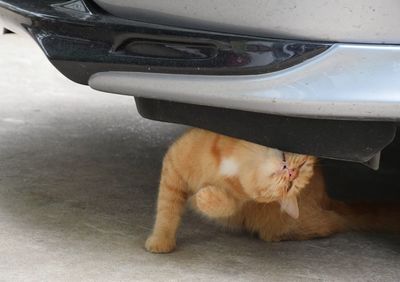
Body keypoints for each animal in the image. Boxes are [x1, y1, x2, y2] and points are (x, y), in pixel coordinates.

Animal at [145, 128, 398, 253]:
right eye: (302, 165)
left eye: (290, 186)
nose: (291, 173)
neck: (241, 163)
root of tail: (328, 197)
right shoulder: (174, 169)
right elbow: (167, 212)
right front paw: (161, 240)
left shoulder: (238, 200)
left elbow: (223, 204)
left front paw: (205, 197)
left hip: (296, 223)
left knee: (334, 223)